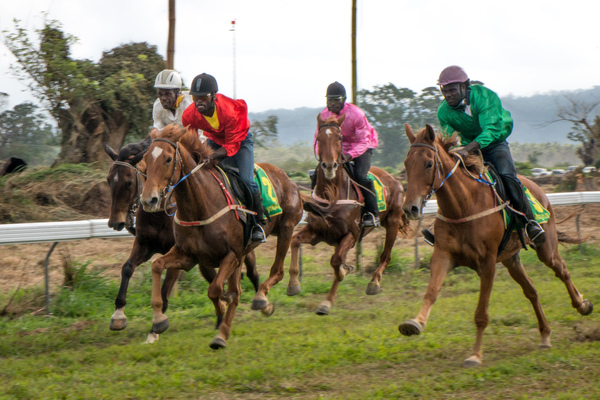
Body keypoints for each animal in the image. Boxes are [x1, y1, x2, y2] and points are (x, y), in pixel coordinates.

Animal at [102, 133, 260, 340]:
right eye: (109, 180)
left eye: (128, 182)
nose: (115, 222)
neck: (161, 212)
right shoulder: (145, 243)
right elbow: (128, 267)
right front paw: (118, 314)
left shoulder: (177, 250)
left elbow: (166, 287)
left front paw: (156, 325)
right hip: (205, 259)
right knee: (215, 278)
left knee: (250, 271)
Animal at [141, 123, 304, 348]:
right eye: (146, 159)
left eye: (167, 159)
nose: (149, 200)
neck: (200, 207)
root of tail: (287, 178)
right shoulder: (189, 256)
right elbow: (157, 266)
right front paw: (158, 321)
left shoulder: (231, 255)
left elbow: (216, 290)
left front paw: (222, 318)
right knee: (244, 283)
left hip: (286, 226)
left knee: (277, 269)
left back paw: (272, 293)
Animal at [288, 114, 410, 314]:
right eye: (319, 138)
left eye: (339, 137)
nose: (329, 166)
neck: (332, 194)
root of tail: (395, 180)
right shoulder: (317, 232)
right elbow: (295, 241)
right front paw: (293, 284)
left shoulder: (352, 234)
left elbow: (336, 261)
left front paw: (329, 298)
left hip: (392, 221)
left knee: (385, 256)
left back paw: (373, 283)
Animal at [400, 123, 592, 368]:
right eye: (406, 164)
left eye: (428, 163)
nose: (410, 208)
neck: (463, 206)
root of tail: (538, 189)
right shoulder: (443, 255)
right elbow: (431, 292)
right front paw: (415, 323)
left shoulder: (487, 264)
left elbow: (481, 314)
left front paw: (475, 355)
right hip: (511, 259)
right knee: (531, 290)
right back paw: (545, 335)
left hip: (546, 247)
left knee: (562, 270)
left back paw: (582, 305)